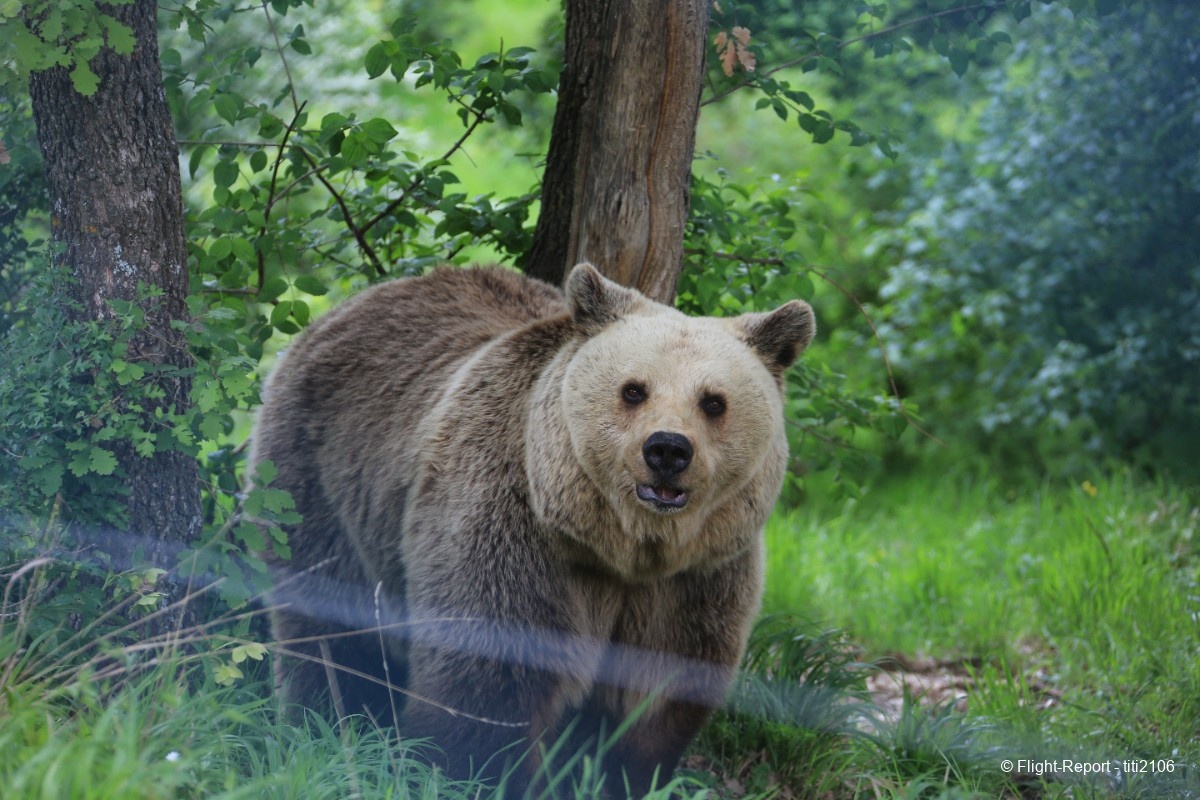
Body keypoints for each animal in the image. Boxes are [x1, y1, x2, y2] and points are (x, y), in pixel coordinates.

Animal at [250, 263, 815, 795]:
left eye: (713, 401)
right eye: (633, 390)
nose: (667, 450)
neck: (622, 551)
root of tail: (348, 306)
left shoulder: (697, 578)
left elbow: (656, 697)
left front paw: (613, 777)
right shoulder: (512, 530)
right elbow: (491, 676)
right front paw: (475, 774)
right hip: (319, 480)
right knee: (327, 621)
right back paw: (325, 721)